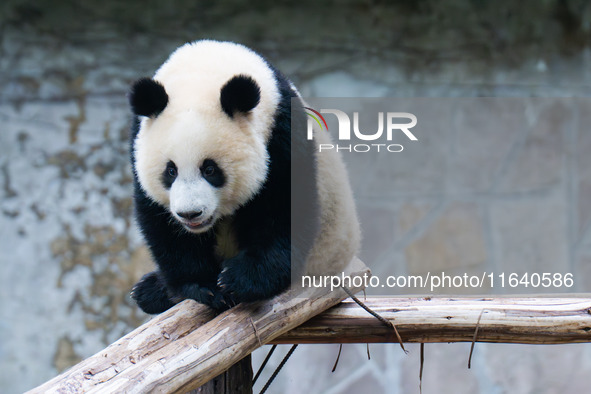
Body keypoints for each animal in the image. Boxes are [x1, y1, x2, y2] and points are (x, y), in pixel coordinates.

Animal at [130, 38, 360, 312]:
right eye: (171, 170)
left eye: (210, 169)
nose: (190, 214)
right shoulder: (138, 139)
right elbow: (160, 221)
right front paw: (204, 286)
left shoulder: (282, 134)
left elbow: (285, 207)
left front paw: (240, 279)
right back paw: (150, 290)